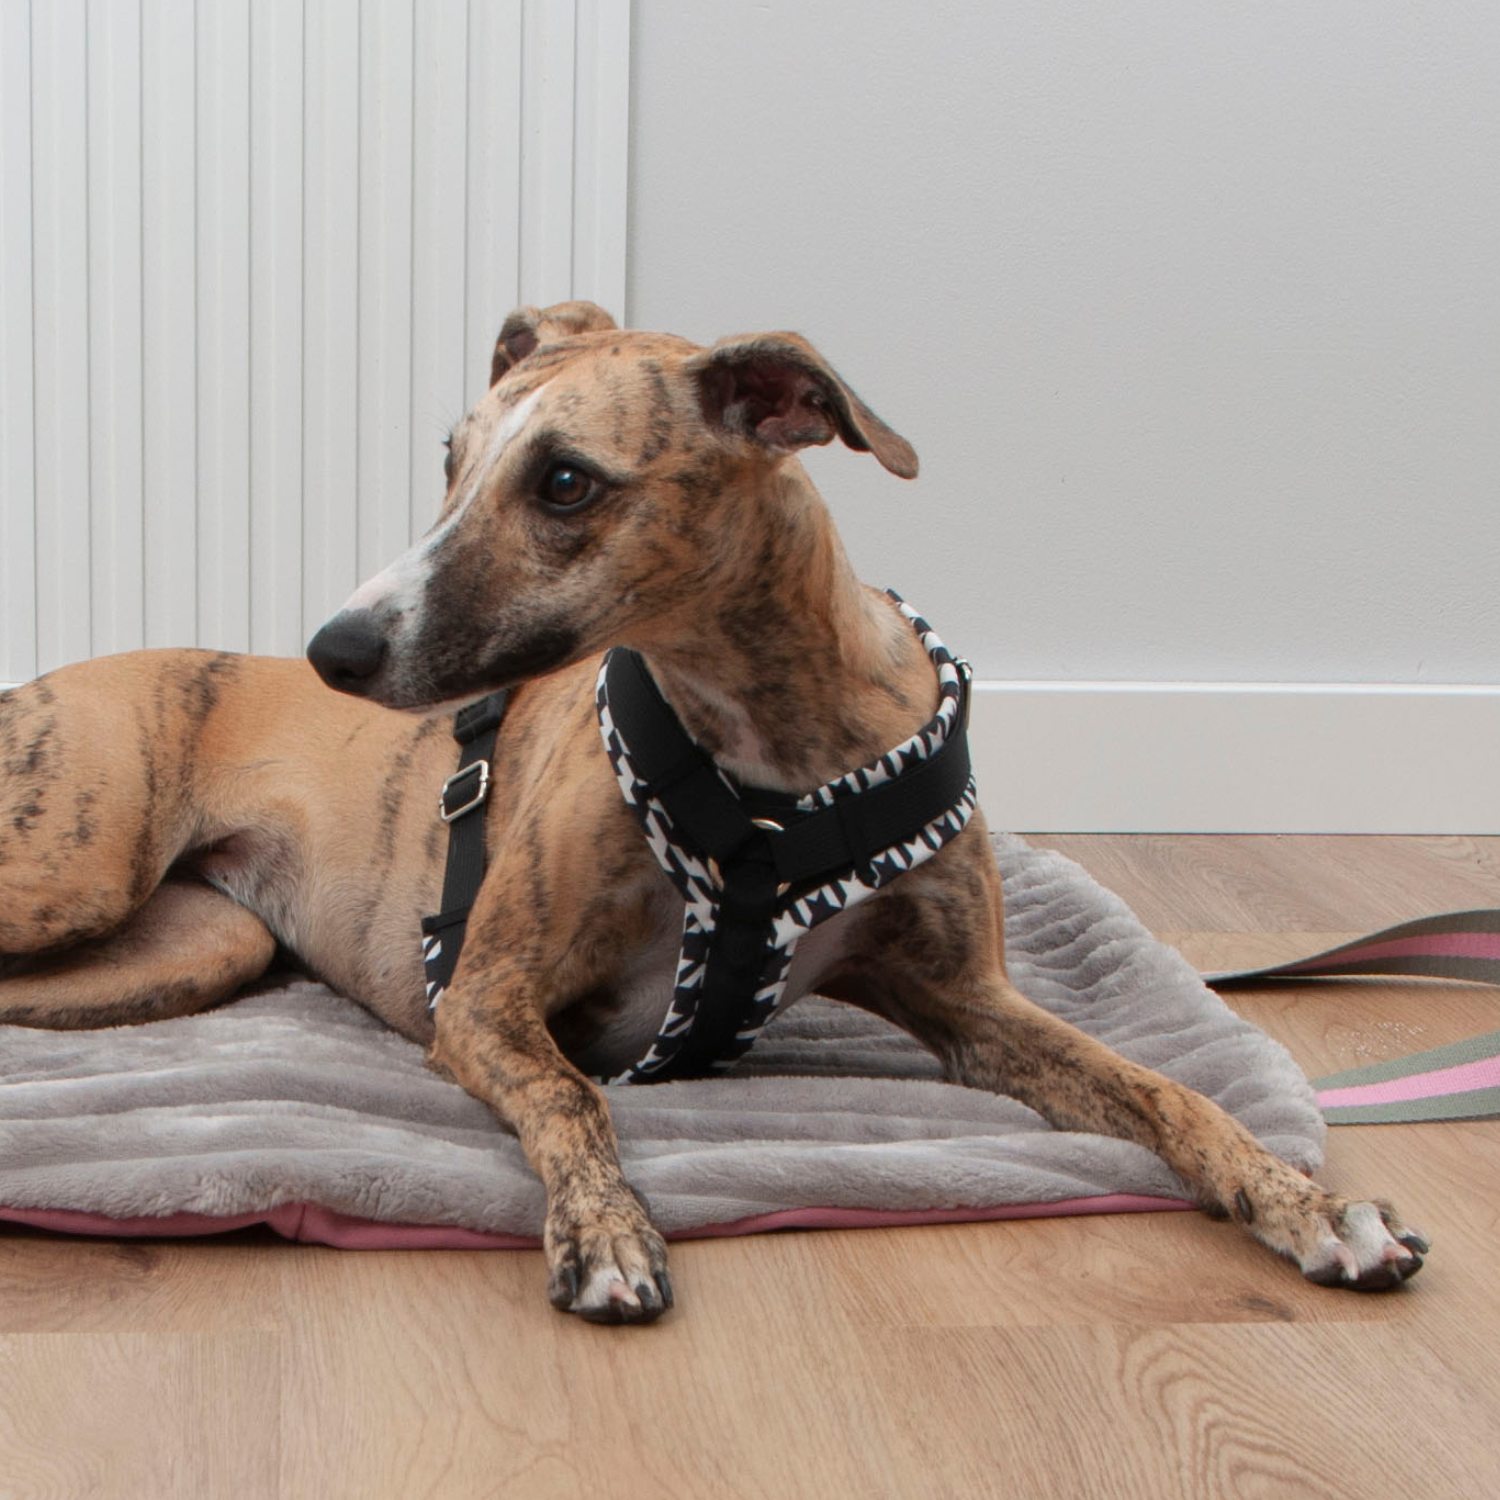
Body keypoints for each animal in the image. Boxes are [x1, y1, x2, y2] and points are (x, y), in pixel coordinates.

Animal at [0, 301, 1427, 1321]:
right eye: (451, 461)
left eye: (565, 483)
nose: (332, 652)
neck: (765, 764)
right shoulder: (487, 998)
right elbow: (576, 1098)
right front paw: (606, 1233)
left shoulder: (974, 1010)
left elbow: (1169, 1094)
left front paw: (1311, 1206)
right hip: (78, 868)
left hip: (191, 942)